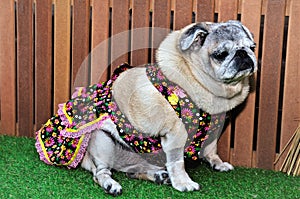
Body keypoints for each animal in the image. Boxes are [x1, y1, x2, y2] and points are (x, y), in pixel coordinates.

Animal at [34, 20, 255, 196]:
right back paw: (111, 184)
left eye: (252, 46)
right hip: (102, 140)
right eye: (221, 54)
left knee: (133, 171)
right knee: (100, 173)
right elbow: (177, 162)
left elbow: (211, 149)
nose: (244, 54)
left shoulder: (213, 133)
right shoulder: (176, 134)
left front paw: (218, 163)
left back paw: (157, 175)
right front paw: (183, 182)